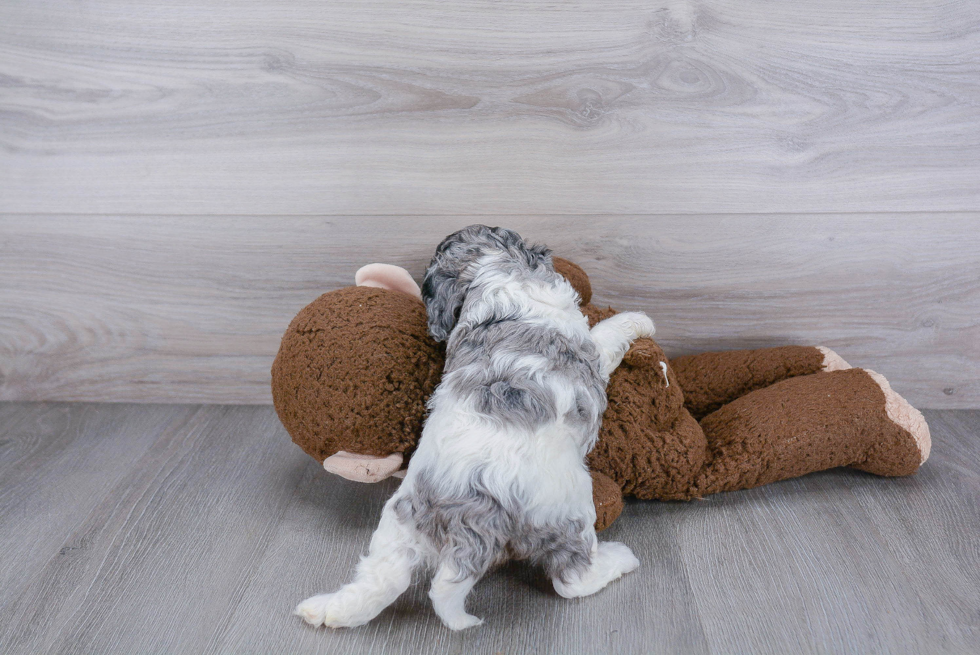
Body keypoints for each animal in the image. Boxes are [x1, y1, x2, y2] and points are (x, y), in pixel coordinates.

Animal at [294, 224, 656, 632]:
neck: (494, 276)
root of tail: (465, 517)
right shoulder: (587, 346)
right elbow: (606, 335)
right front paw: (638, 320)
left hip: (399, 525)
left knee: (381, 580)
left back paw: (325, 610)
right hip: (568, 511)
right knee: (572, 580)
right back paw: (620, 559)